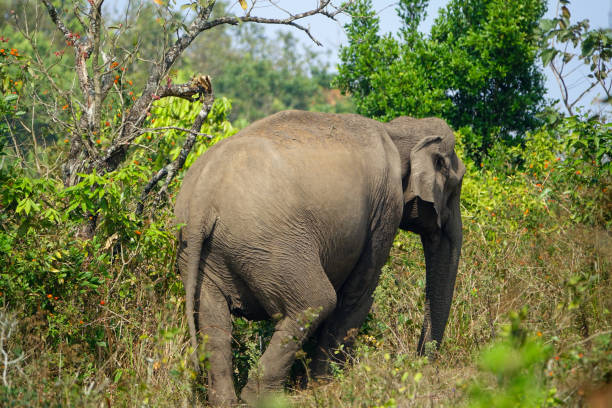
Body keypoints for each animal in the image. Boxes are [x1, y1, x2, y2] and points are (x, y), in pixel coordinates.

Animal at [175, 110, 466, 406]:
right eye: (456, 186)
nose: (418, 363)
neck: (397, 130)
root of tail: (201, 201)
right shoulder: (385, 207)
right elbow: (357, 294)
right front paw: (323, 387)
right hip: (270, 245)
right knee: (316, 301)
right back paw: (259, 398)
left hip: (205, 250)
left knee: (213, 321)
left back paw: (227, 401)